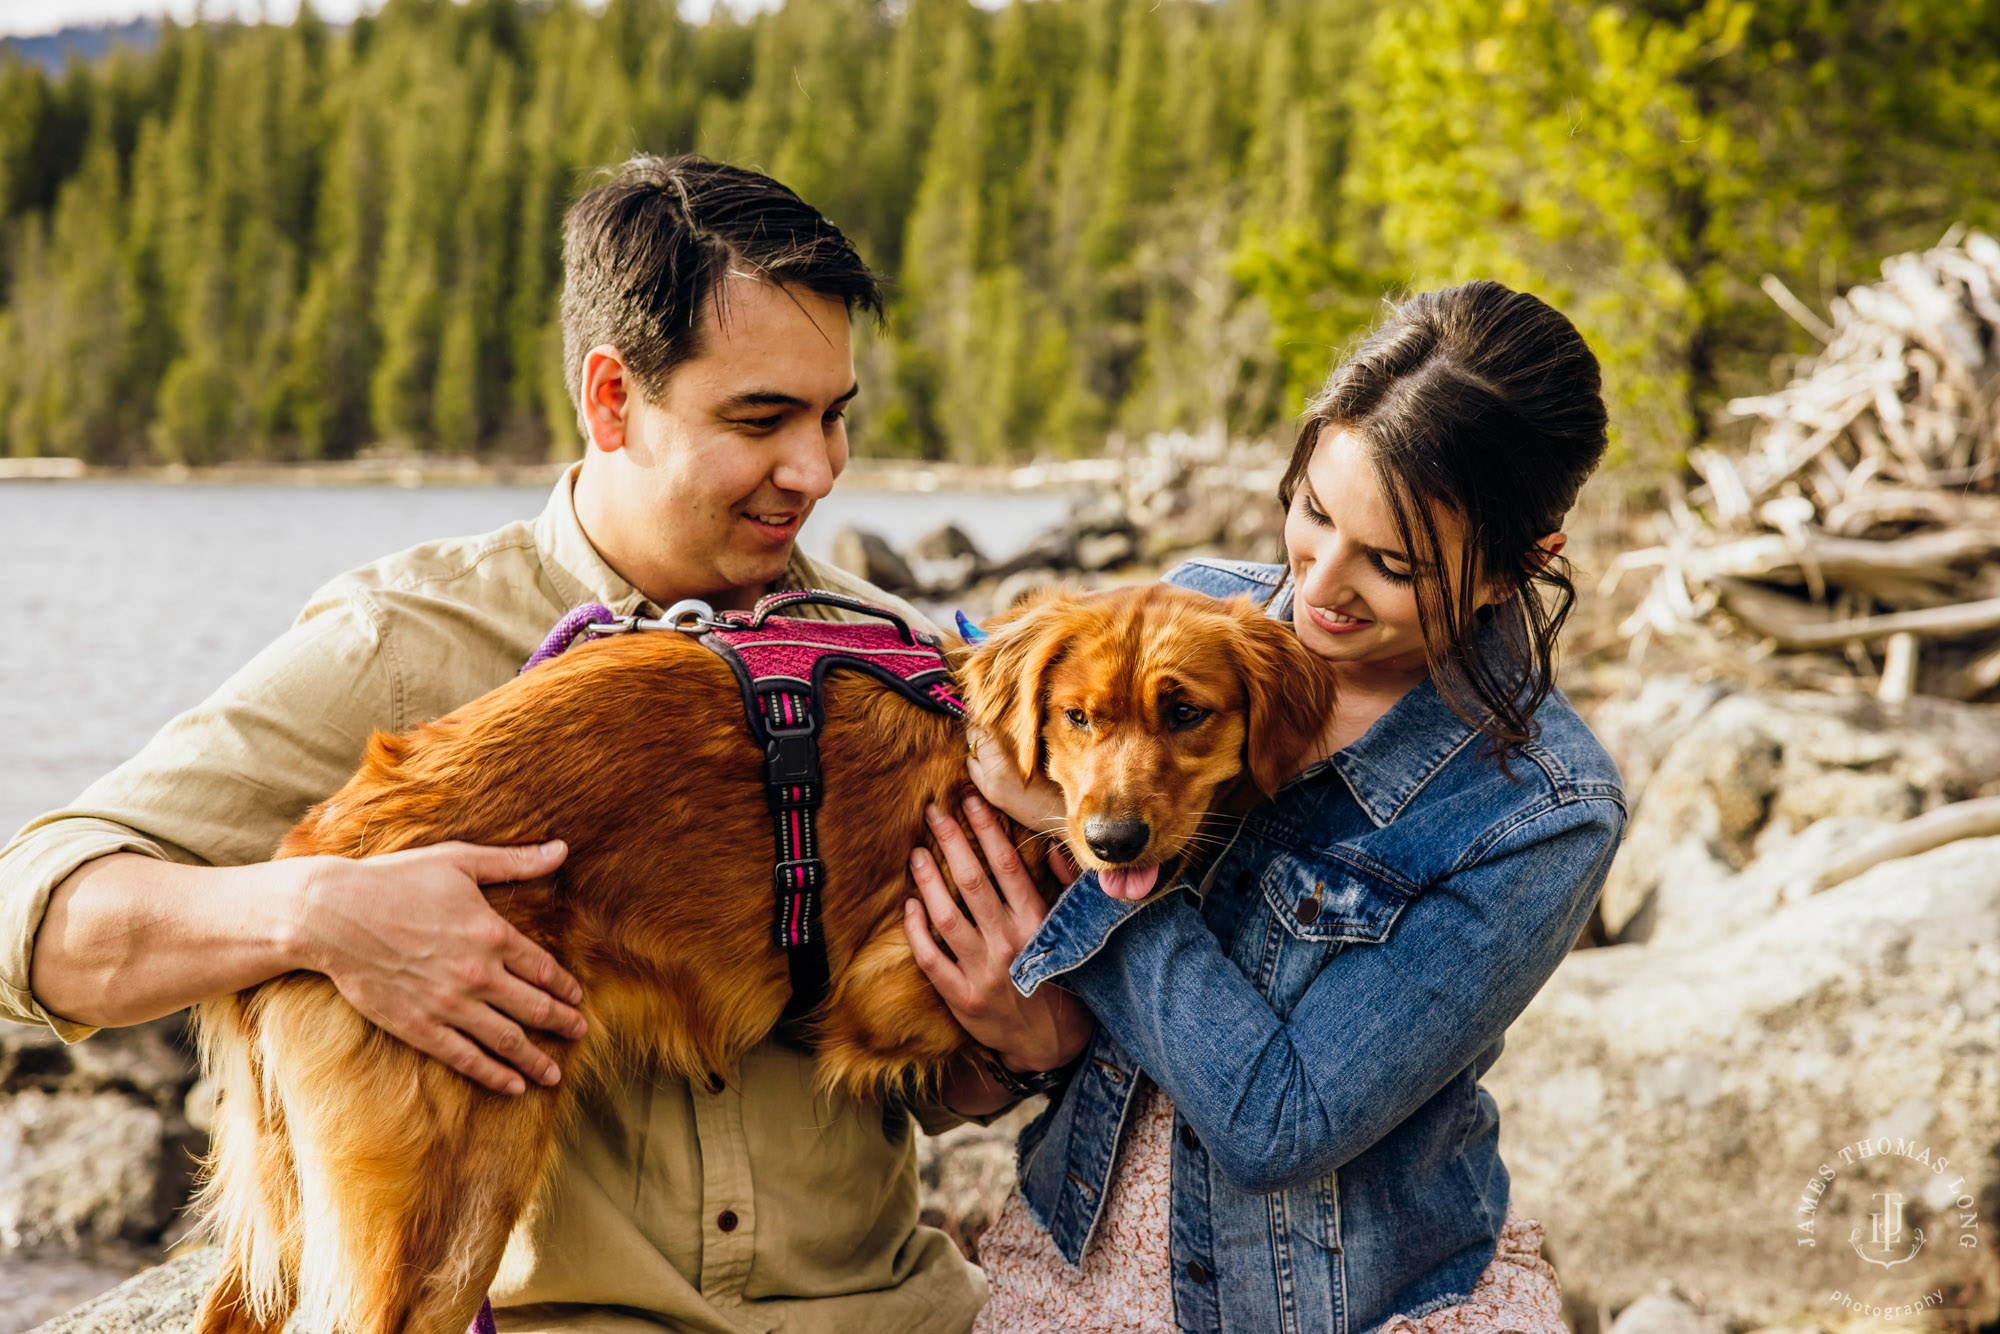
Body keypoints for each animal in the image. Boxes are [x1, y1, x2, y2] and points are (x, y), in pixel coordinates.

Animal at [195, 580, 1336, 1334]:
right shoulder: (888, 984)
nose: (1113, 843)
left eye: (1185, 712)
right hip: (453, 1205)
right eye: (1077, 715)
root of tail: (319, 851)